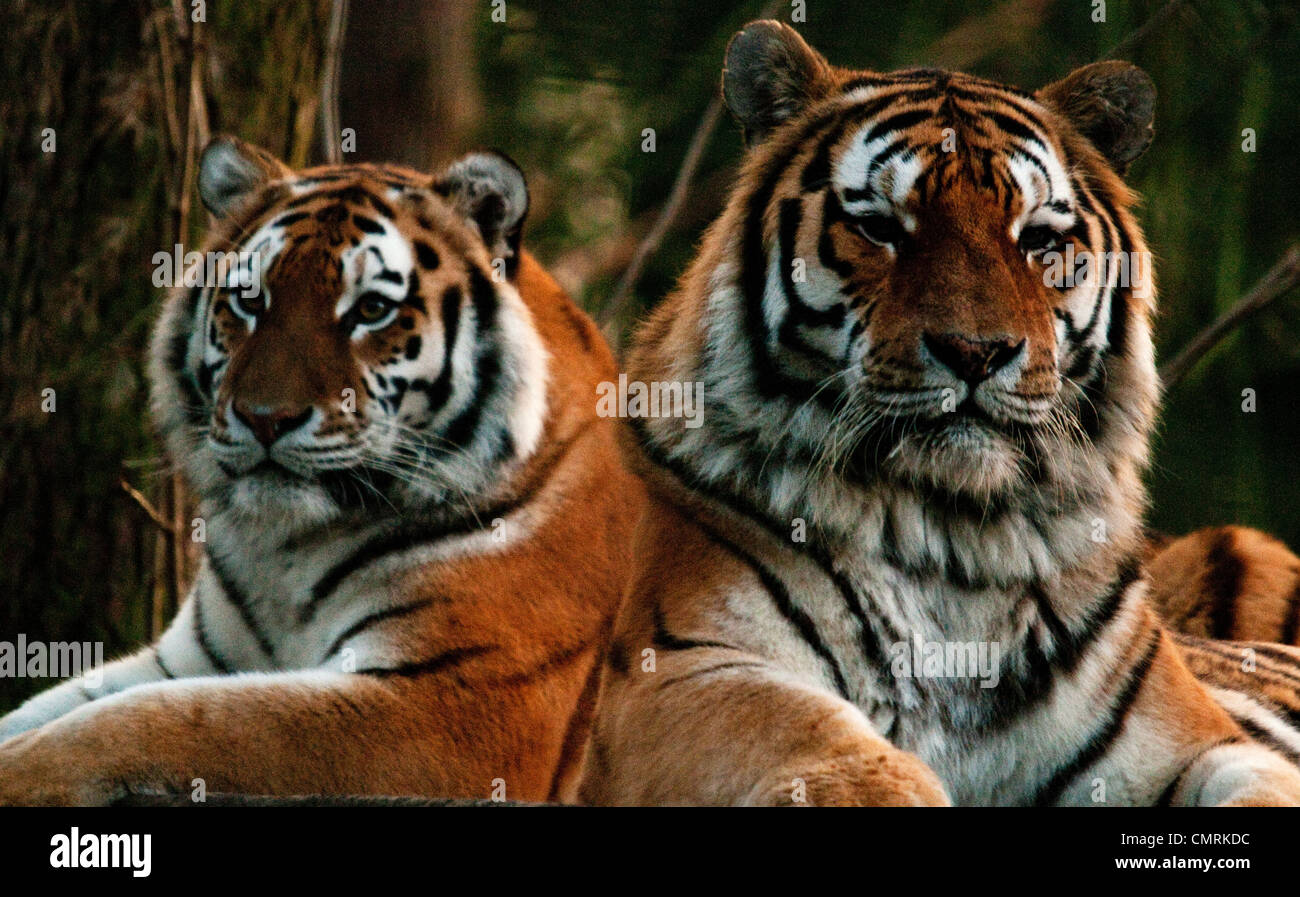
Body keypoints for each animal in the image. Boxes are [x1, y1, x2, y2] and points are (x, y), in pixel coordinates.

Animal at [0, 136, 644, 806]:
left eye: (372, 309)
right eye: (250, 301)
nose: (265, 418)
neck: (288, 550)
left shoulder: (456, 701)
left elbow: (177, 720)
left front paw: (19, 772)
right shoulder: (192, 657)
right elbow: (62, 703)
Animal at [577, 21, 1300, 806]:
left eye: (1037, 239)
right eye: (879, 228)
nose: (975, 352)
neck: (957, 534)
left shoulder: (1192, 741)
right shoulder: (686, 670)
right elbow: (837, 751)